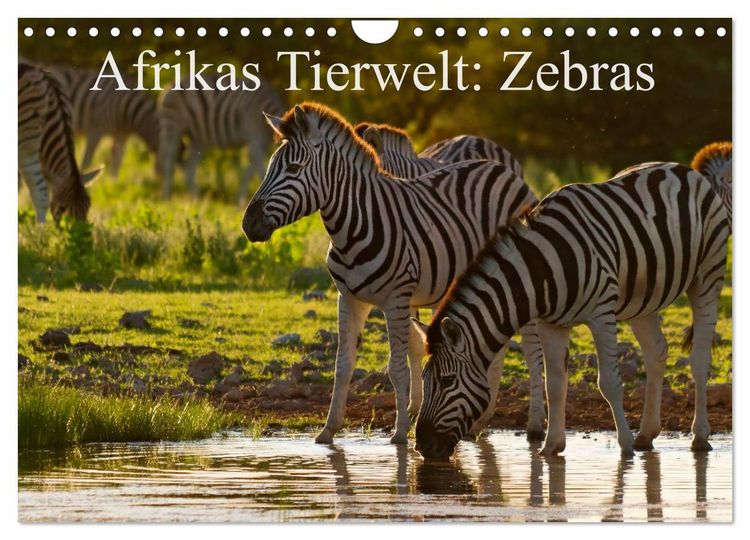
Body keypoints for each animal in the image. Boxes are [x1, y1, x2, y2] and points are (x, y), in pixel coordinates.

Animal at [412, 163, 729, 460]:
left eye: (447, 381)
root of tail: (683, 169)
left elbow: (608, 382)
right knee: (656, 353)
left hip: (707, 278)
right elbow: (554, 384)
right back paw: (646, 434)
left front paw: (625, 448)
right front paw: (551, 446)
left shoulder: (601, 312)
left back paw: (699, 437)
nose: (422, 446)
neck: (540, 269)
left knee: (700, 360)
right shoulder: (550, 323)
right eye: (425, 379)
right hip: (643, 299)